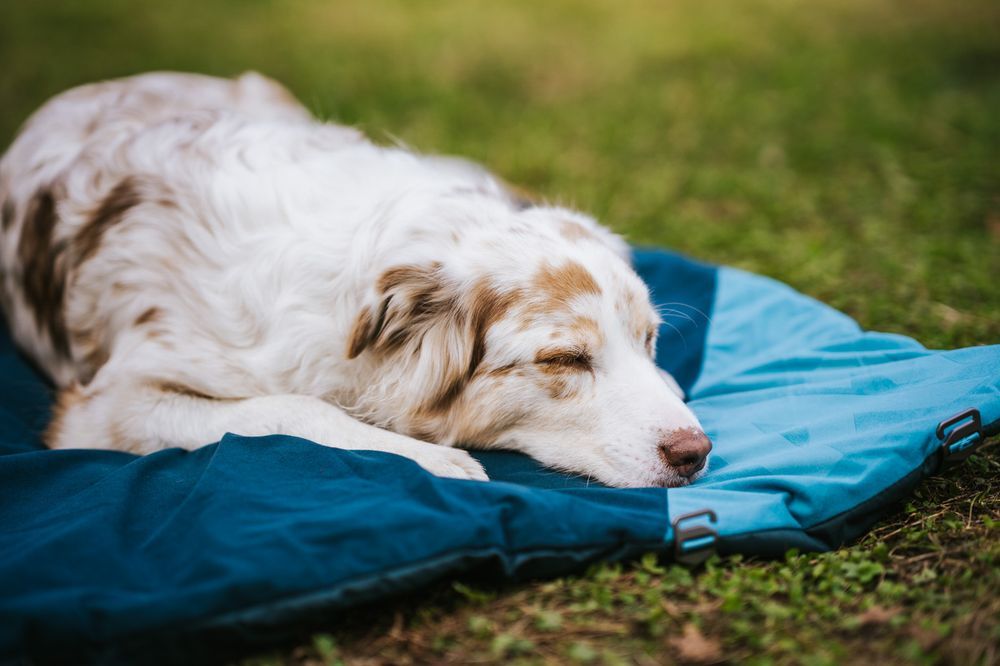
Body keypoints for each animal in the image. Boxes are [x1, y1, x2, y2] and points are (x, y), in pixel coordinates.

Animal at [0, 72, 712, 486]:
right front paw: (430, 460)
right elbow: (287, 407)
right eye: (564, 359)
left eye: (649, 340)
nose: (696, 451)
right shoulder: (105, 407)